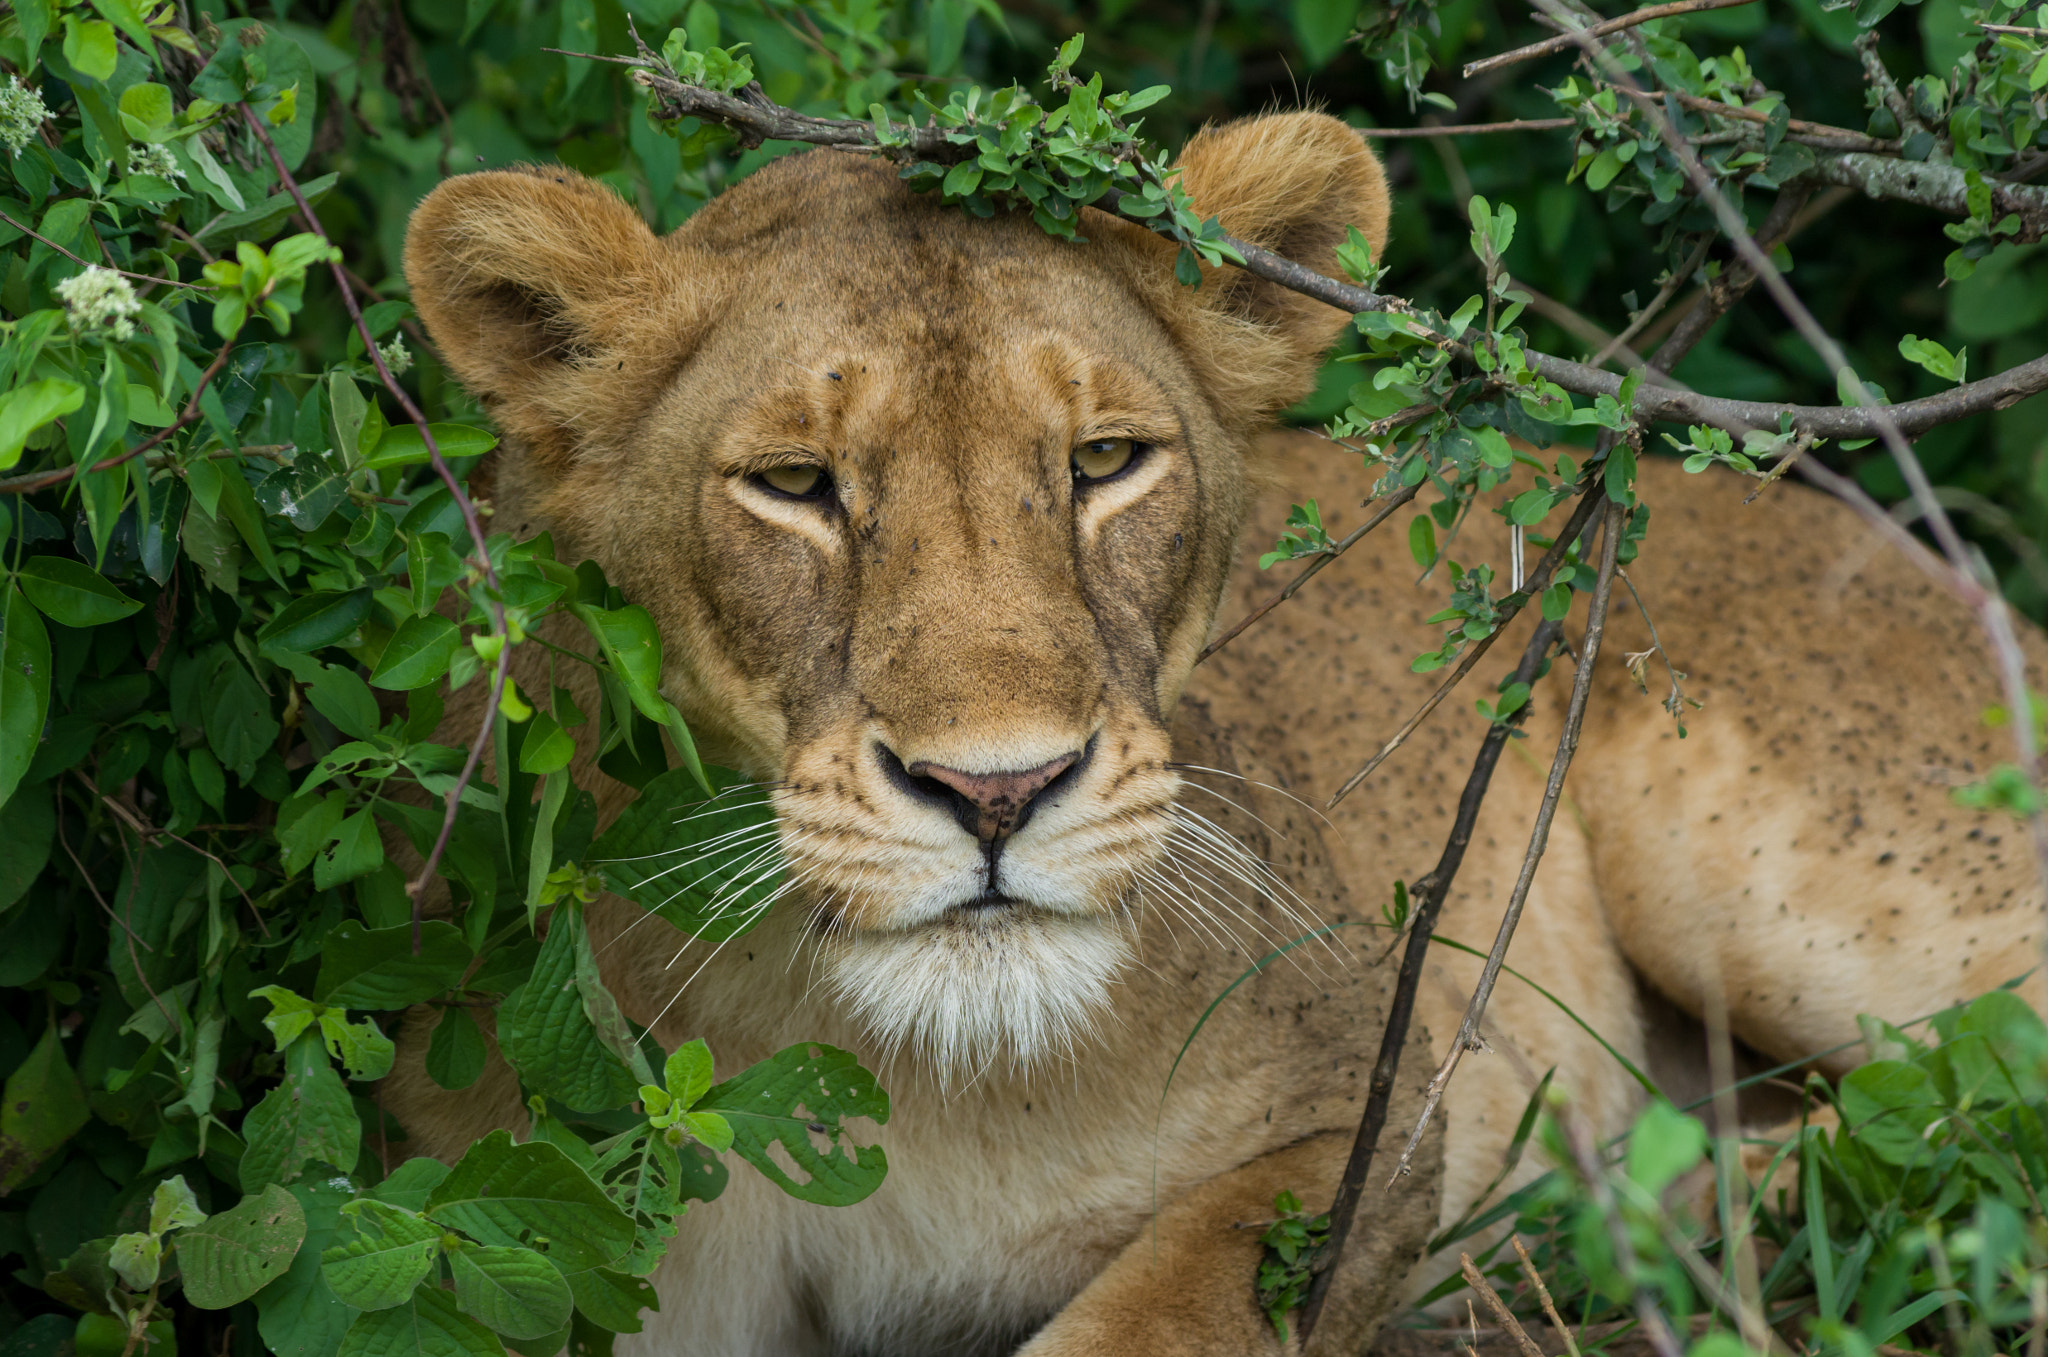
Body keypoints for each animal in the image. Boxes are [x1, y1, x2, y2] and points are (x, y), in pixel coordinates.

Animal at [387, 112, 2048, 1356]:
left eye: (1107, 461)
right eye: (794, 484)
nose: (998, 790)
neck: (897, 1075)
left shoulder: (1370, 1105)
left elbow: (1163, 1314)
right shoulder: (537, 1227)